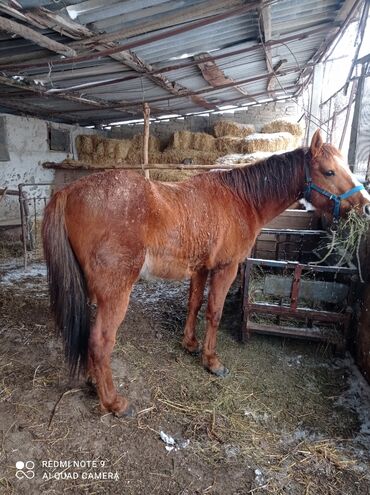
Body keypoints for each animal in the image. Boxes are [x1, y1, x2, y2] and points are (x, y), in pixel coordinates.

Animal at [42, 130, 368, 416]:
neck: (241, 199)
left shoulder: (200, 268)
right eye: (329, 172)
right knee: (100, 341)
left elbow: (194, 304)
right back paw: (113, 402)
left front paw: (190, 344)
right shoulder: (225, 269)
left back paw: (93, 382)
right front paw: (211, 361)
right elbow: (214, 312)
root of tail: (69, 191)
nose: (364, 205)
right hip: (115, 293)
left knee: (87, 334)